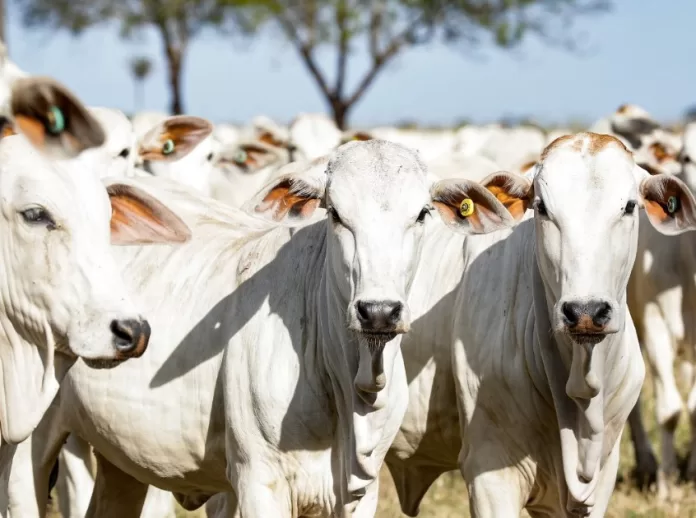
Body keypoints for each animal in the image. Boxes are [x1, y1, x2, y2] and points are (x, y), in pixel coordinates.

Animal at [19, 143, 512, 518]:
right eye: (335, 214)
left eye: (423, 213)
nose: (378, 312)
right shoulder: (260, 482)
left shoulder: (362, 493)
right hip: (28, 445)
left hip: (121, 460)